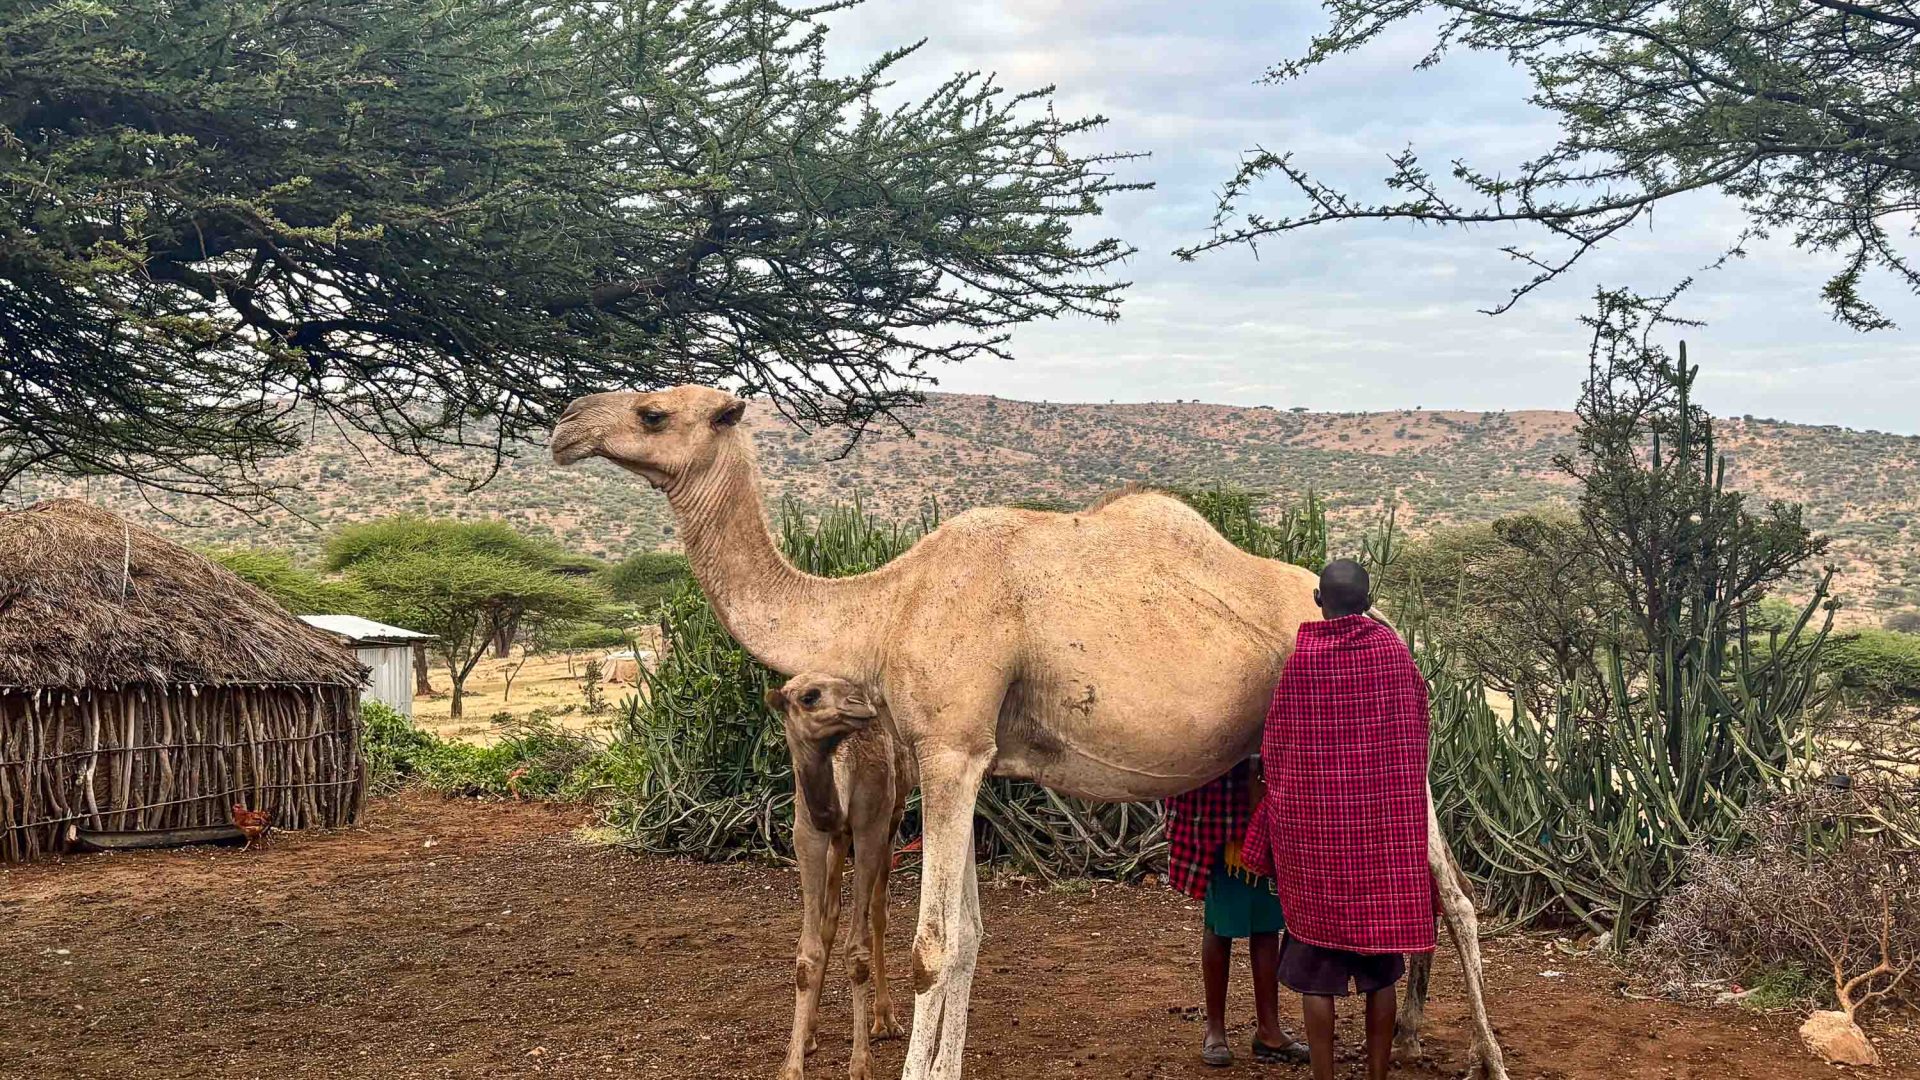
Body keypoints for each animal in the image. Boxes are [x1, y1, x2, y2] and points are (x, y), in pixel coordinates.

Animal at [766, 672, 916, 1080]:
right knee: (831, 916)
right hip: (839, 839)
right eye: (809, 697)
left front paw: (861, 1064)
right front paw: (792, 1063)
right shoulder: (807, 833)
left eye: (847, 686)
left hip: (893, 818)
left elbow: (858, 950)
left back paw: (885, 1021)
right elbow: (808, 951)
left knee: (879, 910)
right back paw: (810, 1032)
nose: (859, 705)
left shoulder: (871, 826)